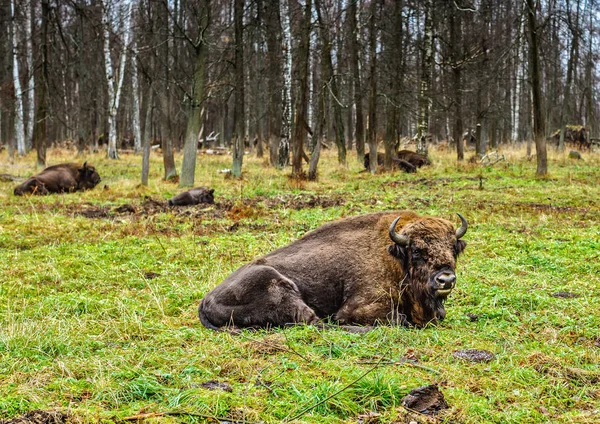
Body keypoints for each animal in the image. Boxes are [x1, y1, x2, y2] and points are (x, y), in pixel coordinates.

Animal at [199, 210, 466, 330]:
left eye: (453, 248)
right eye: (417, 251)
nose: (446, 279)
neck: (394, 257)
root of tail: (205, 301)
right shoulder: (360, 307)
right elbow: (398, 319)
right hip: (278, 286)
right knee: (315, 322)